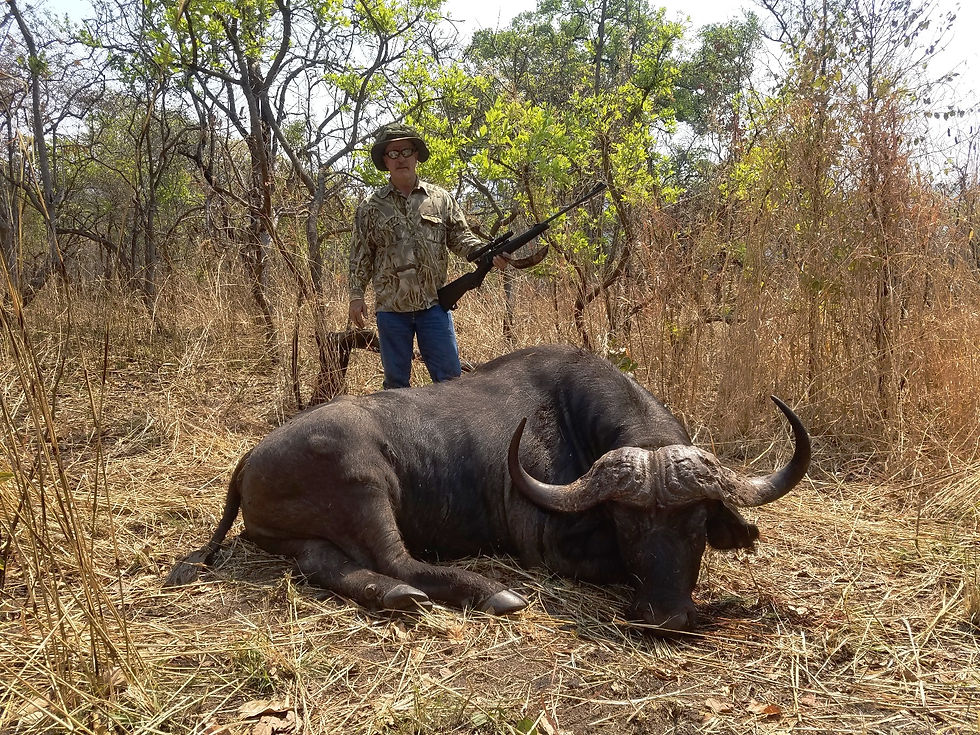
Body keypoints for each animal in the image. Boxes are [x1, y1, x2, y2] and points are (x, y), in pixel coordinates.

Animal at [165, 344, 810, 633]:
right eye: (627, 523)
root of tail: (250, 458)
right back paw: (491, 594)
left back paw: (398, 597)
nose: (665, 615)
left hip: (306, 540)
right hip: (366, 485)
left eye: (697, 523)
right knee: (399, 560)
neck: (571, 419)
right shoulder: (549, 547)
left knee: (333, 566)